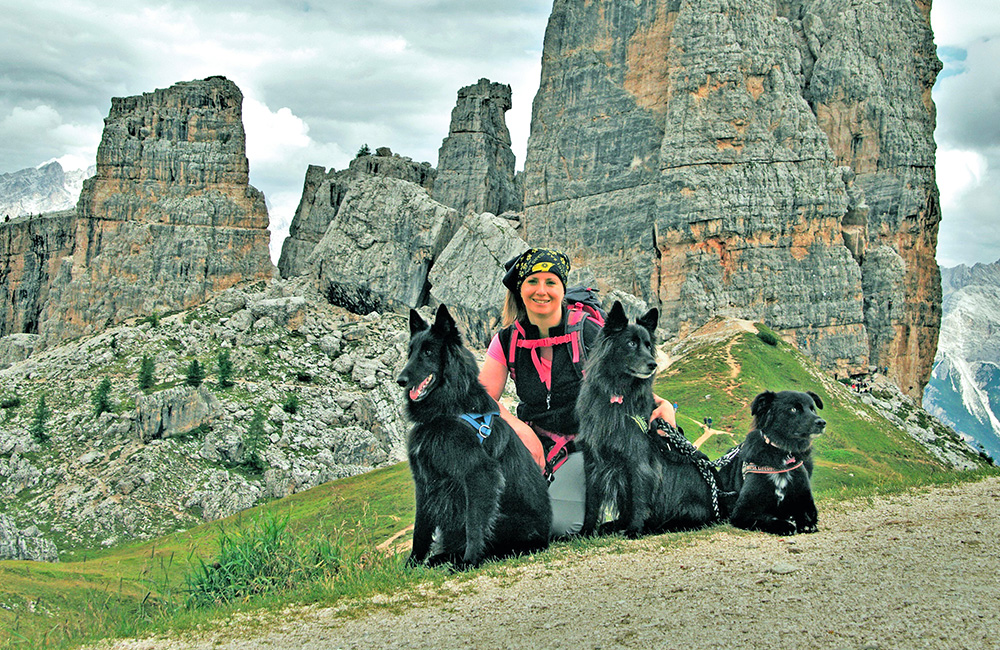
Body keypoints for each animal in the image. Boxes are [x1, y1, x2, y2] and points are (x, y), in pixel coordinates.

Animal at [394, 306, 552, 568]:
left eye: (428, 352)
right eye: (410, 353)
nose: (401, 381)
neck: (447, 411)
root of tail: (548, 535)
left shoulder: (479, 474)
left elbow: (474, 523)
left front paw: (470, 561)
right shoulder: (424, 481)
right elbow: (420, 528)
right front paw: (412, 564)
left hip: (504, 516)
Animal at [576, 302, 724, 536]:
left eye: (647, 345)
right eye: (630, 343)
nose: (653, 364)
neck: (618, 395)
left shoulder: (639, 462)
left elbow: (639, 498)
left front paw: (634, 530)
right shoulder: (593, 462)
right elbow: (592, 502)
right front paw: (586, 531)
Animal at [720, 390, 828, 532]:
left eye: (813, 409)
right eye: (793, 409)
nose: (822, 422)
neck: (783, 455)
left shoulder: (806, 501)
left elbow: (806, 514)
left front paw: (805, 523)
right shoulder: (743, 511)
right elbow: (766, 518)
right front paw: (785, 525)